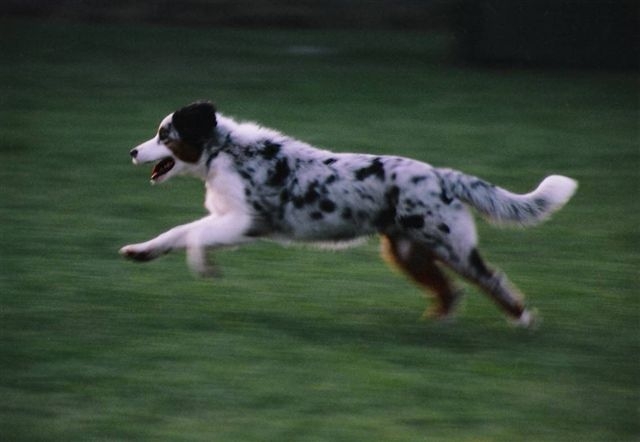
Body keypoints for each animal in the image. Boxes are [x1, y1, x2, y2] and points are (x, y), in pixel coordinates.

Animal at [117, 102, 576, 326]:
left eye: (165, 134)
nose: (133, 151)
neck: (224, 153)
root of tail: (441, 176)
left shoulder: (245, 221)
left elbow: (191, 234)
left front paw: (203, 267)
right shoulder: (231, 222)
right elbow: (178, 232)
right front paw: (141, 251)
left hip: (451, 245)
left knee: (491, 281)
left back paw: (524, 322)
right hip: (406, 251)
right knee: (450, 292)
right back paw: (435, 325)